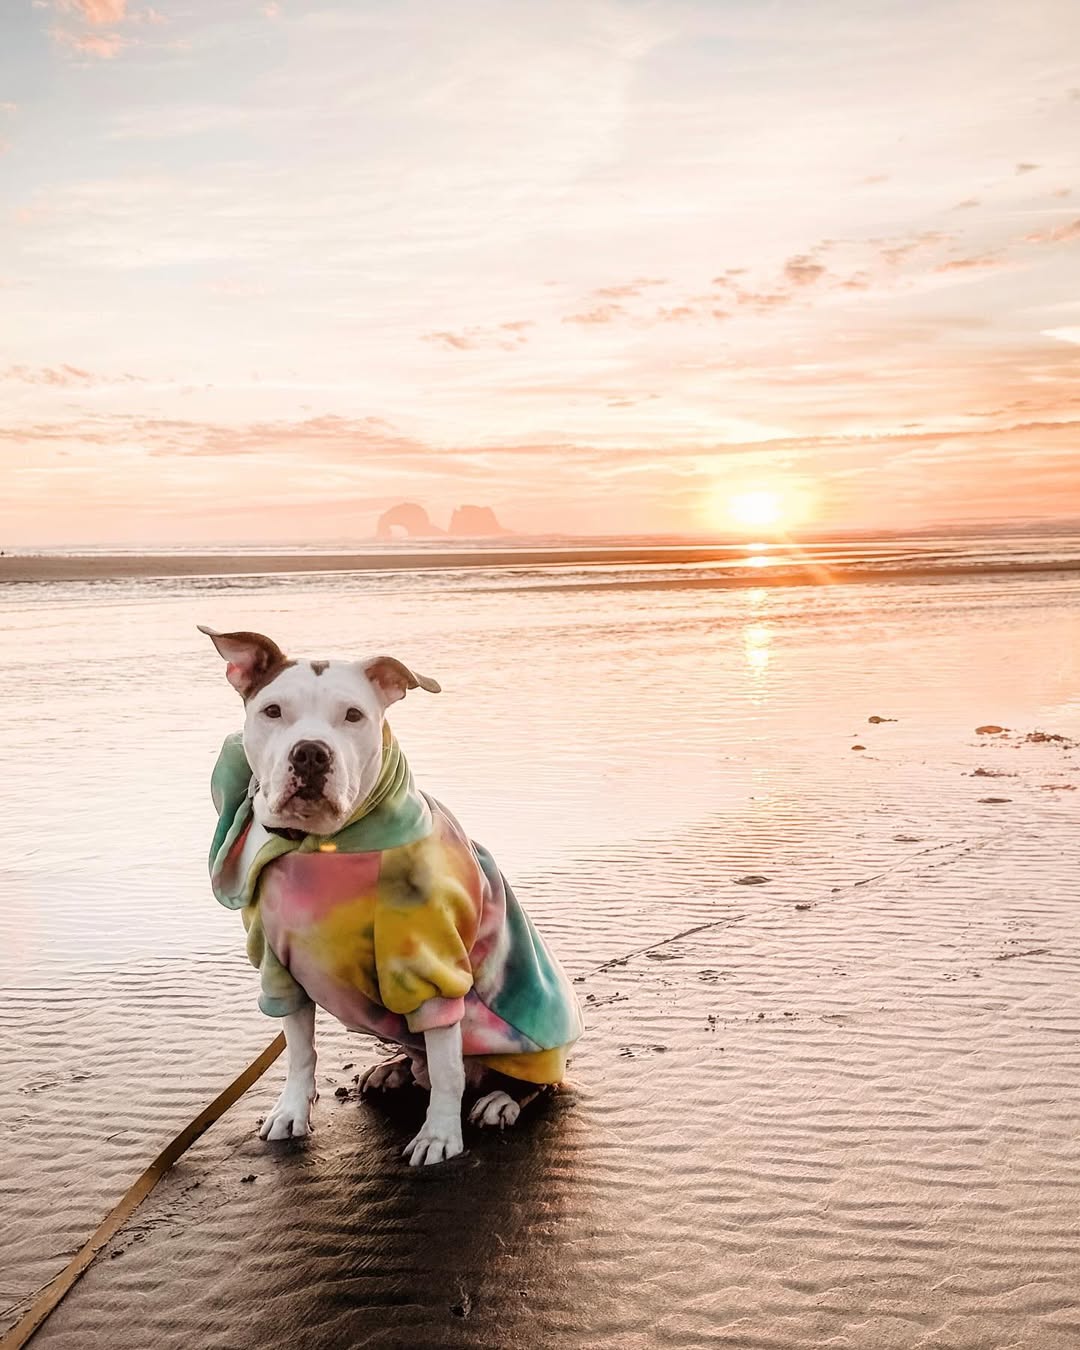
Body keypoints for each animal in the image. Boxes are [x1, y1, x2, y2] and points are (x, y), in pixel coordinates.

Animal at [199, 626, 583, 1166]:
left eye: (353, 715)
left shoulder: (430, 969)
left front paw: (439, 1136)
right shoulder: (278, 967)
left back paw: (501, 1098)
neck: (319, 846)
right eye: (273, 711)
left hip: (536, 1042)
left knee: (531, 1079)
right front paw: (291, 1110)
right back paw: (396, 1070)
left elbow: (447, 1070)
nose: (311, 752)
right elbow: (300, 1051)